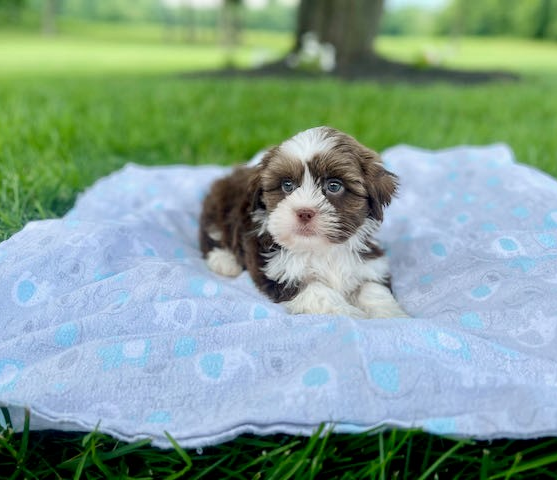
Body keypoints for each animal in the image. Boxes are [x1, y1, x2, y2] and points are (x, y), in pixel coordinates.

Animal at [198, 126, 406, 318]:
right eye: (287, 185)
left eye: (334, 186)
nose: (304, 212)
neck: (321, 250)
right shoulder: (278, 271)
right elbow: (317, 291)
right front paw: (348, 313)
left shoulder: (369, 264)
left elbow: (373, 288)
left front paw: (390, 314)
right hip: (220, 209)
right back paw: (224, 261)